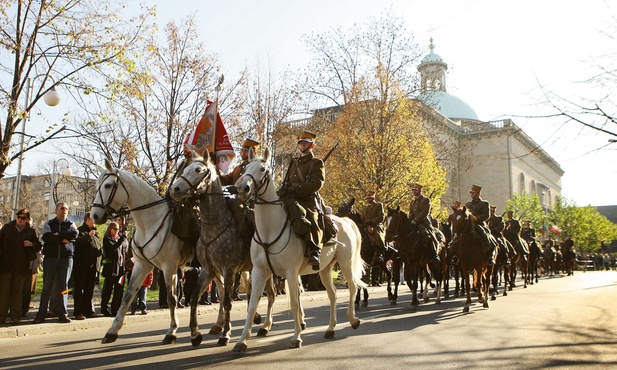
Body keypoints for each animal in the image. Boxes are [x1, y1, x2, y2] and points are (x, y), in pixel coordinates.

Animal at [90, 159, 191, 344]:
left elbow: (171, 298)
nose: (94, 215)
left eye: (107, 185)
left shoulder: (169, 267)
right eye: (96, 185)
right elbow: (128, 295)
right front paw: (112, 331)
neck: (152, 221)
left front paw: (171, 332)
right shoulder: (142, 265)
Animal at [231, 149, 366, 352]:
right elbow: (253, 304)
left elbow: (294, 303)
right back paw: (330, 328)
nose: (242, 189)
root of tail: (345, 221)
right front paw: (242, 340)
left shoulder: (291, 272)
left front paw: (296, 337)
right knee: (333, 294)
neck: (269, 230)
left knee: (352, 287)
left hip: (346, 263)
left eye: (262, 169)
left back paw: (353, 319)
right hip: (325, 269)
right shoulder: (259, 272)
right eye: (246, 167)